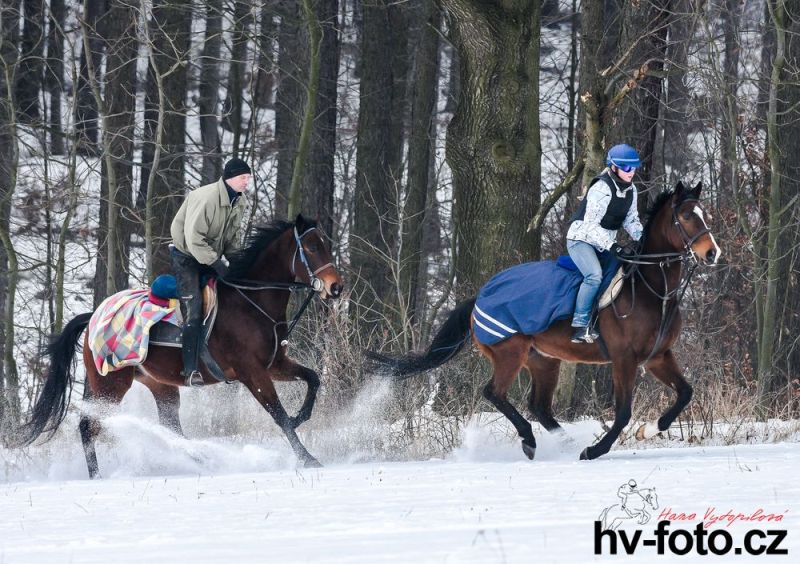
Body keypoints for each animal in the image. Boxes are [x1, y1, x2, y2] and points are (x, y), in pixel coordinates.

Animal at [20, 215, 342, 476]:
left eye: (325, 244)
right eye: (312, 248)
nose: (336, 287)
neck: (251, 302)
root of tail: (93, 316)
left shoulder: (275, 365)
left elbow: (313, 379)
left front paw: (302, 416)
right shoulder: (253, 373)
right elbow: (279, 415)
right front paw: (308, 458)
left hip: (159, 384)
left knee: (170, 427)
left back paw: (199, 458)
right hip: (110, 384)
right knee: (90, 426)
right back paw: (98, 476)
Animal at [372, 183, 720, 460]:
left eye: (707, 215)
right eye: (686, 216)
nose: (712, 253)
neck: (650, 289)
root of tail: (480, 296)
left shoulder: (658, 356)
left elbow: (685, 392)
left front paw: (650, 428)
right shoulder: (625, 359)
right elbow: (622, 413)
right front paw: (594, 450)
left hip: (543, 361)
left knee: (538, 406)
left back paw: (562, 442)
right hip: (509, 354)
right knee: (493, 393)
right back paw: (530, 441)